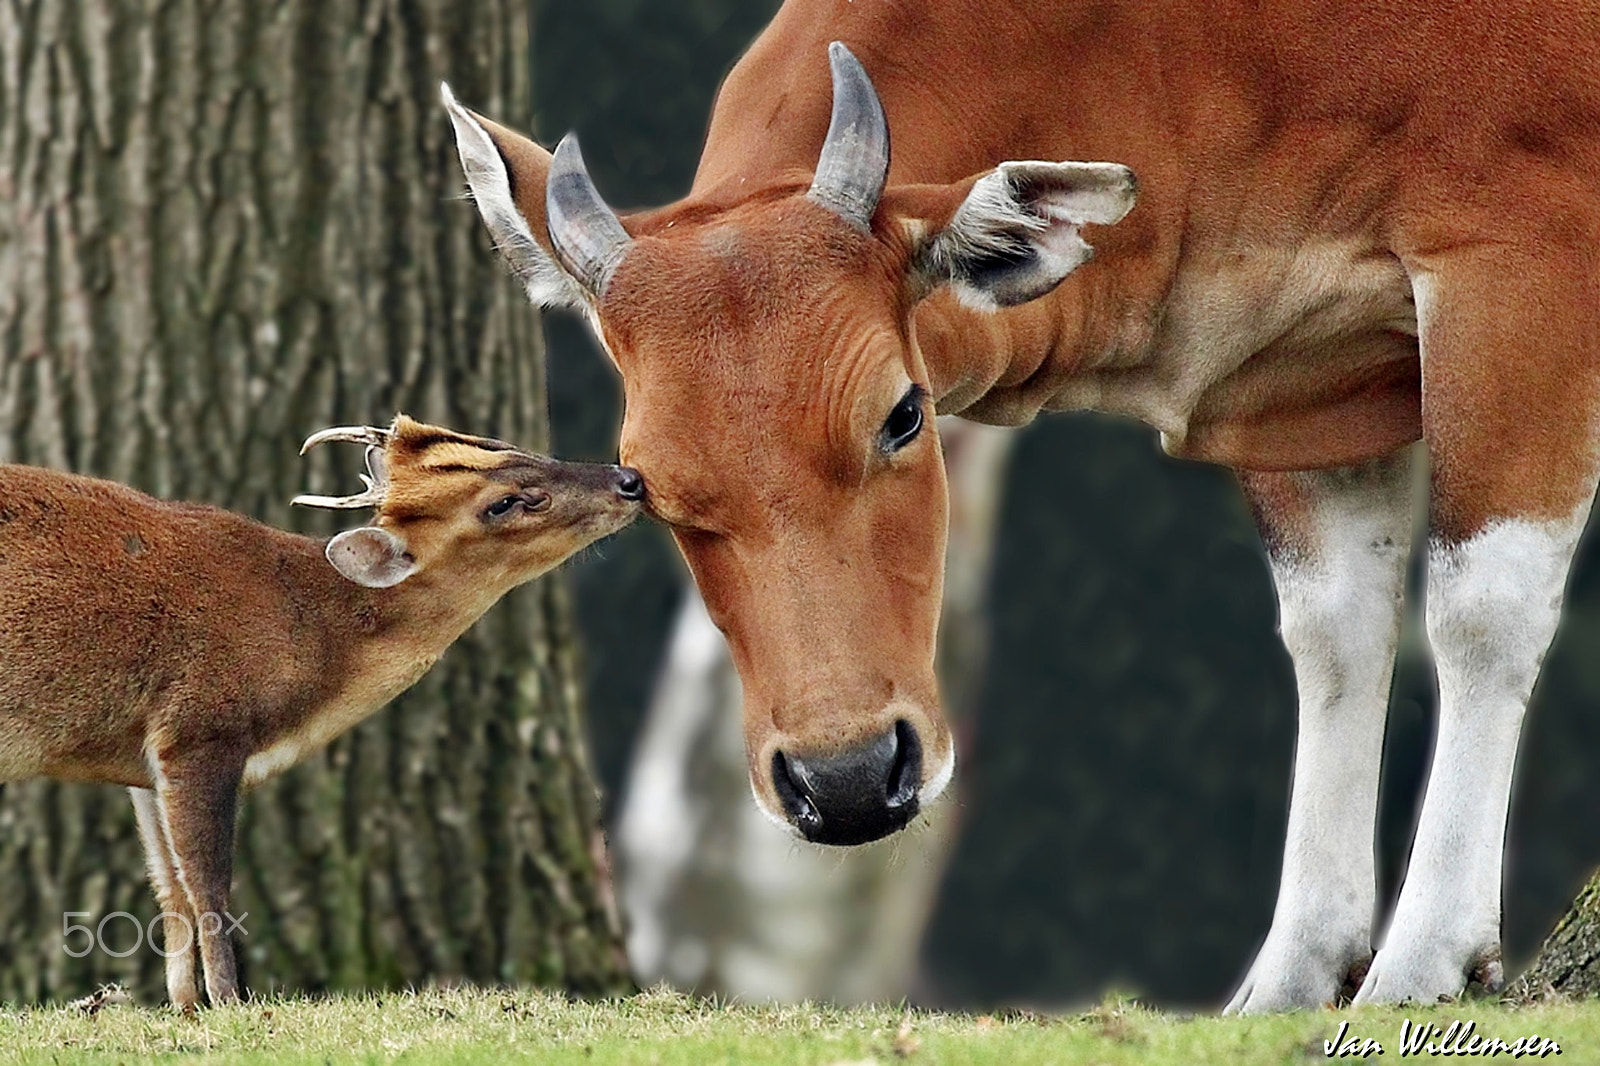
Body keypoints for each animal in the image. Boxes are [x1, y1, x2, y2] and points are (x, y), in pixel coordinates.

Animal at [3, 416, 649, 1005]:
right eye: (504, 503)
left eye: (505, 443)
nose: (630, 480)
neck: (314, 634)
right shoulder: (200, 726)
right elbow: (209, 885)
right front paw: (229, 1004)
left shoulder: (140, 760)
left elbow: (169, 887)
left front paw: (184, 1009)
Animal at [444, 0, 1600, 1011]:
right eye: (642, 480)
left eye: (903, 413)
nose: (849, 778)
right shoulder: (1301, 386)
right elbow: (1336, 633)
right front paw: (1297, 972)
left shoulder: (1521, 257)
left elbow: (1480, 612)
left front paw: (1426, 955)